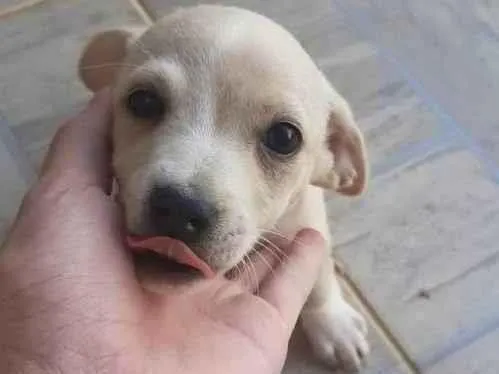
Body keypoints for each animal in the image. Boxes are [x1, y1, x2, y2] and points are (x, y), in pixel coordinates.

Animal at [77, 5, 368, 372]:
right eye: (143, 101)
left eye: (284, 138)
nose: (179, 209)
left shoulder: (308, 221)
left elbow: (320, 276)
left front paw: (334, 323)